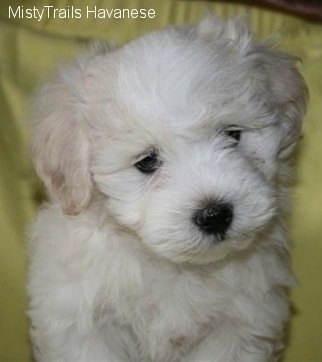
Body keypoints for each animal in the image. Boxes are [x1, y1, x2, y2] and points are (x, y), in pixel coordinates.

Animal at [27, 15, 306, 360]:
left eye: (232, 134)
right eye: (147, 161)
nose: (214, 215)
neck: (173, 266)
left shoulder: (239, 325)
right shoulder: (81, 322)